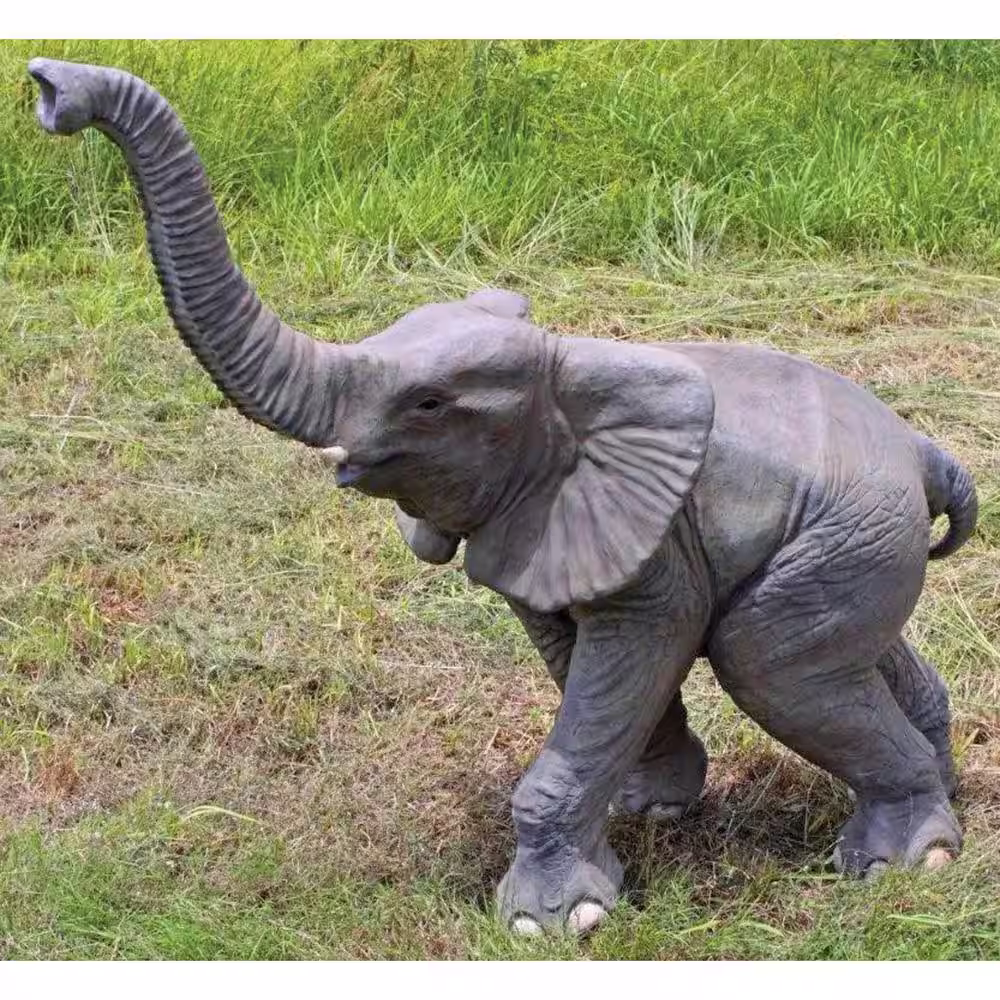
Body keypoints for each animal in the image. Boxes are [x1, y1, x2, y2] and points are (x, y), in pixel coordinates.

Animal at [28, 58, 979, 936]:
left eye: (430, 403)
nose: (50, 91)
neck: (567, 365)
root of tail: (922, 450)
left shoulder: (650, 538)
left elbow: (641, 649)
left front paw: (554, 924)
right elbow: (579, 660)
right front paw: (645, 812)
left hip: (852, 535)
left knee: (770, 662)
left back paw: (905, 865)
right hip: (857, 542)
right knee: (848, 651)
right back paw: (941, 795)